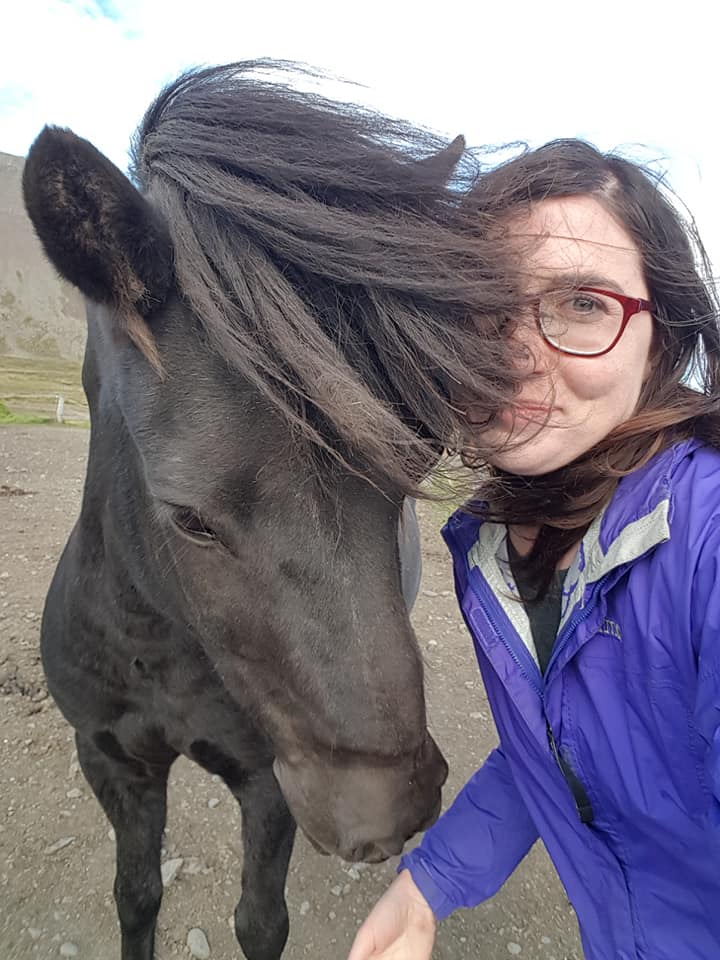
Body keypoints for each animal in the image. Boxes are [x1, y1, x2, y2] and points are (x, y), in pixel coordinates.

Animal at [22, 61, 519, 960]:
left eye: (416, 459)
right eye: (188, 517)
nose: (380, 812)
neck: (159, 647)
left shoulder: (267, 782)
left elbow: (260, 922)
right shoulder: (113, 762)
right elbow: (136, 896)